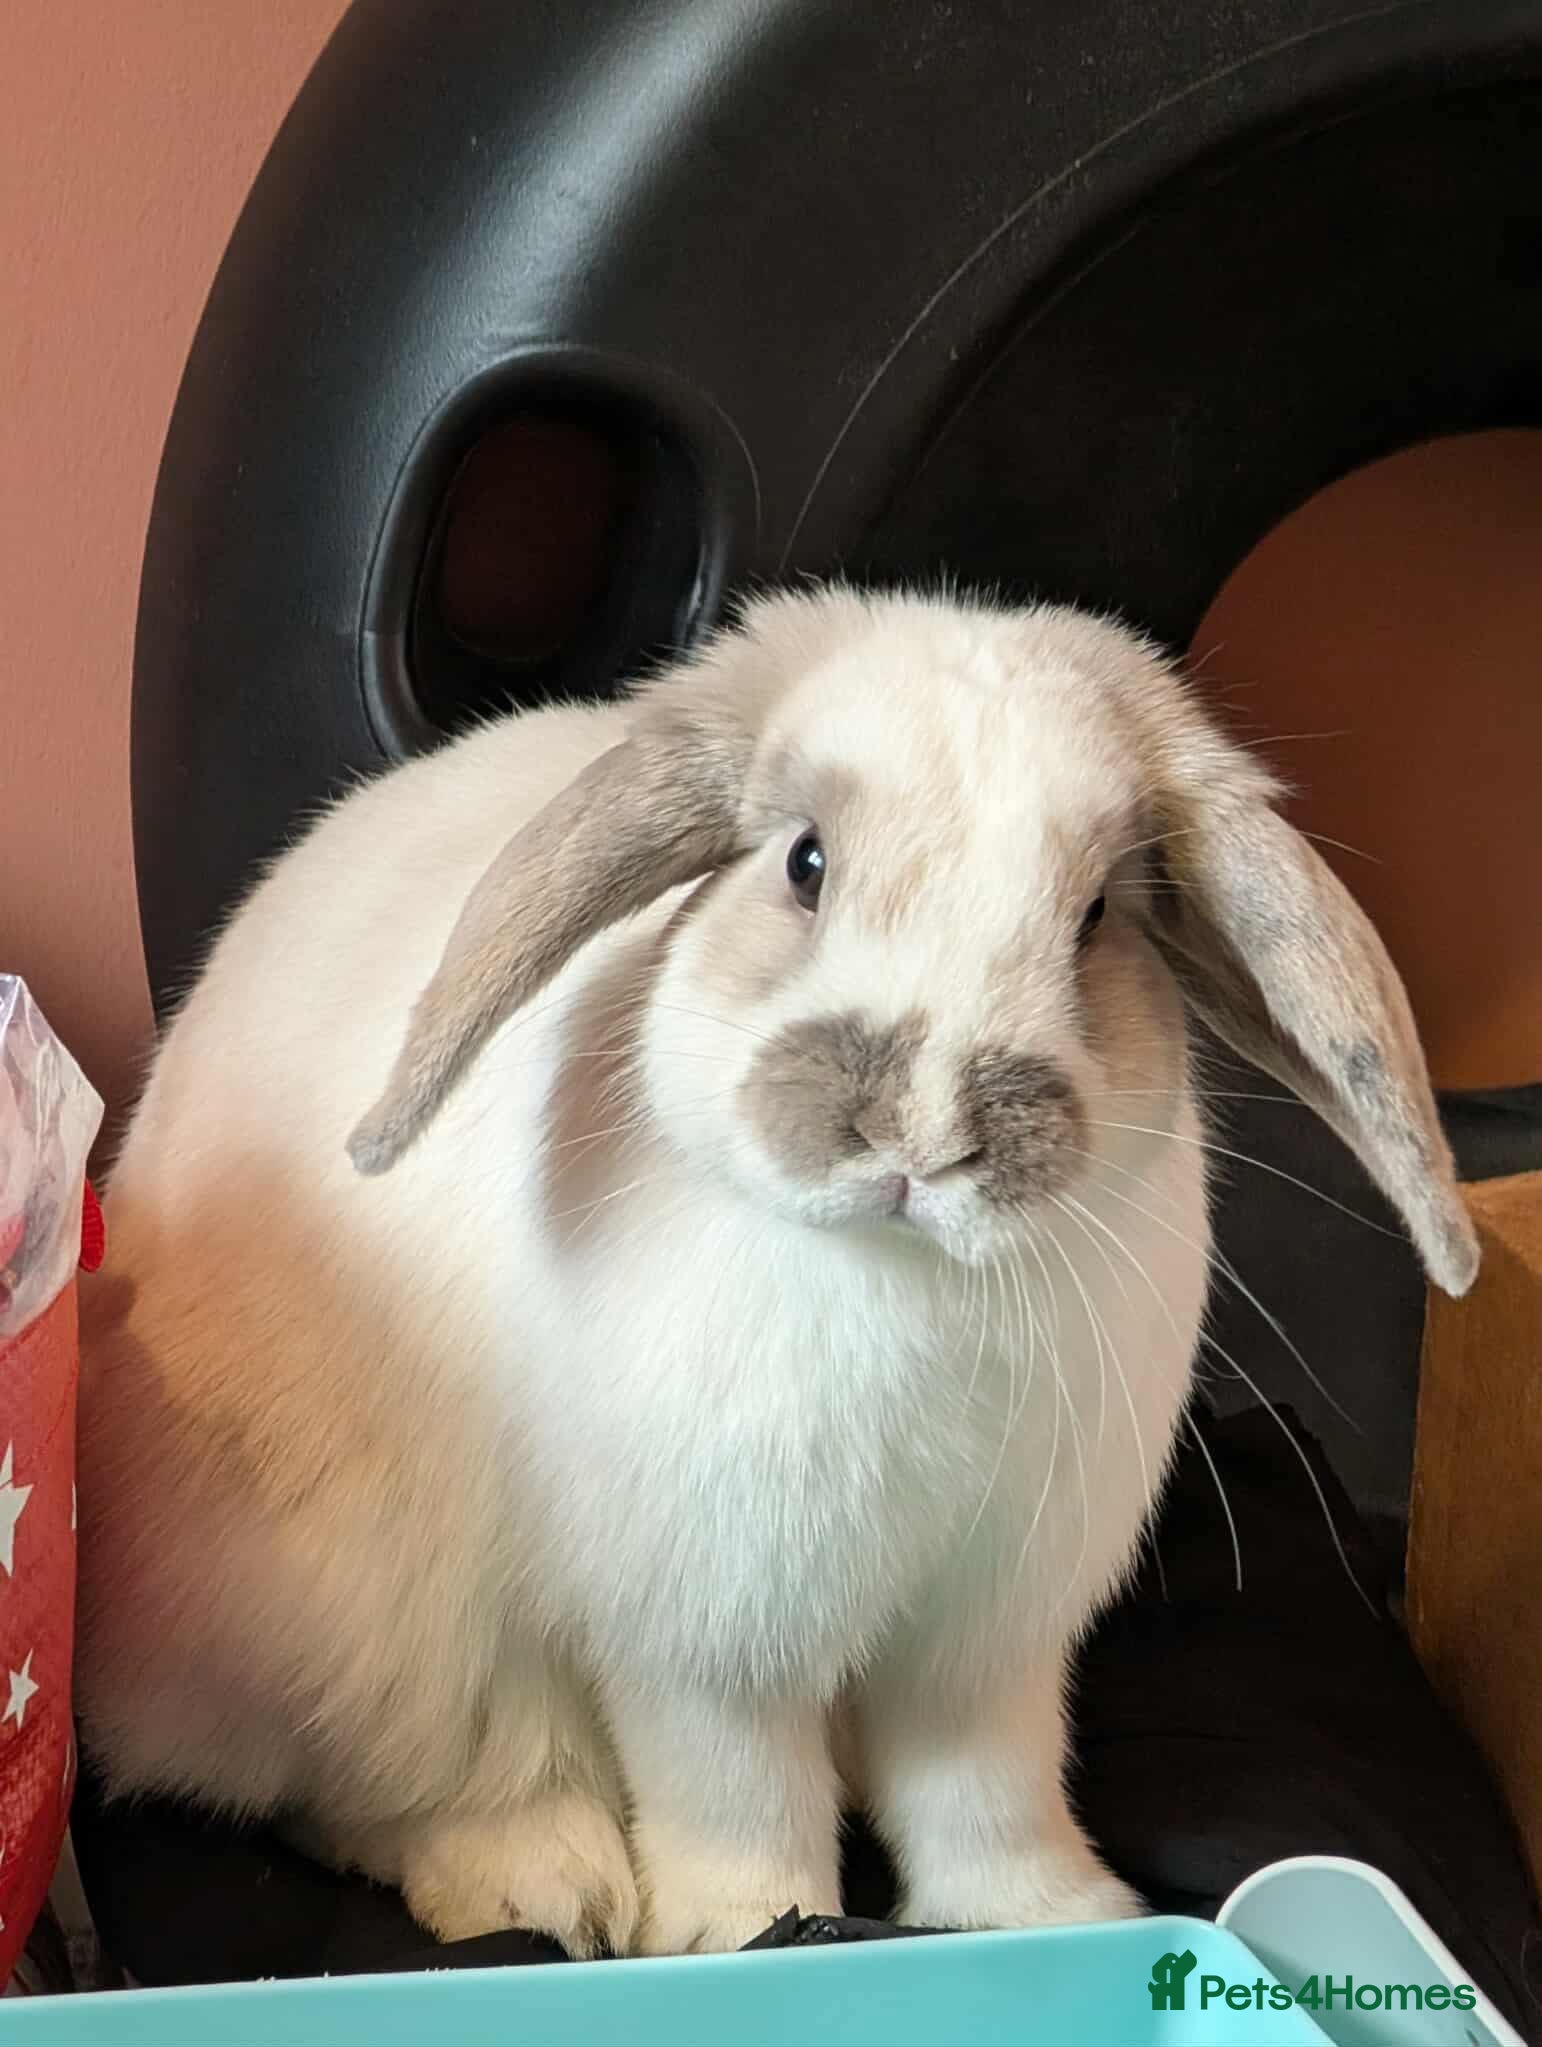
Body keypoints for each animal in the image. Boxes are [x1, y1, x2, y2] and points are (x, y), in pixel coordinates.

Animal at [74, 585, 1478, 1958]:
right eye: (804, 863)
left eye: (1095, 917)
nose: (920, 1132)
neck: (896, 1273)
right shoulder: (705, 1642)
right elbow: (733, 1790)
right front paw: (746, 1928)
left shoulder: (985, 1645)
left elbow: (985, 1786)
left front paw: (1043, 1915)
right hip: (369, 1635)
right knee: (352, 1788)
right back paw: (543, 1882)